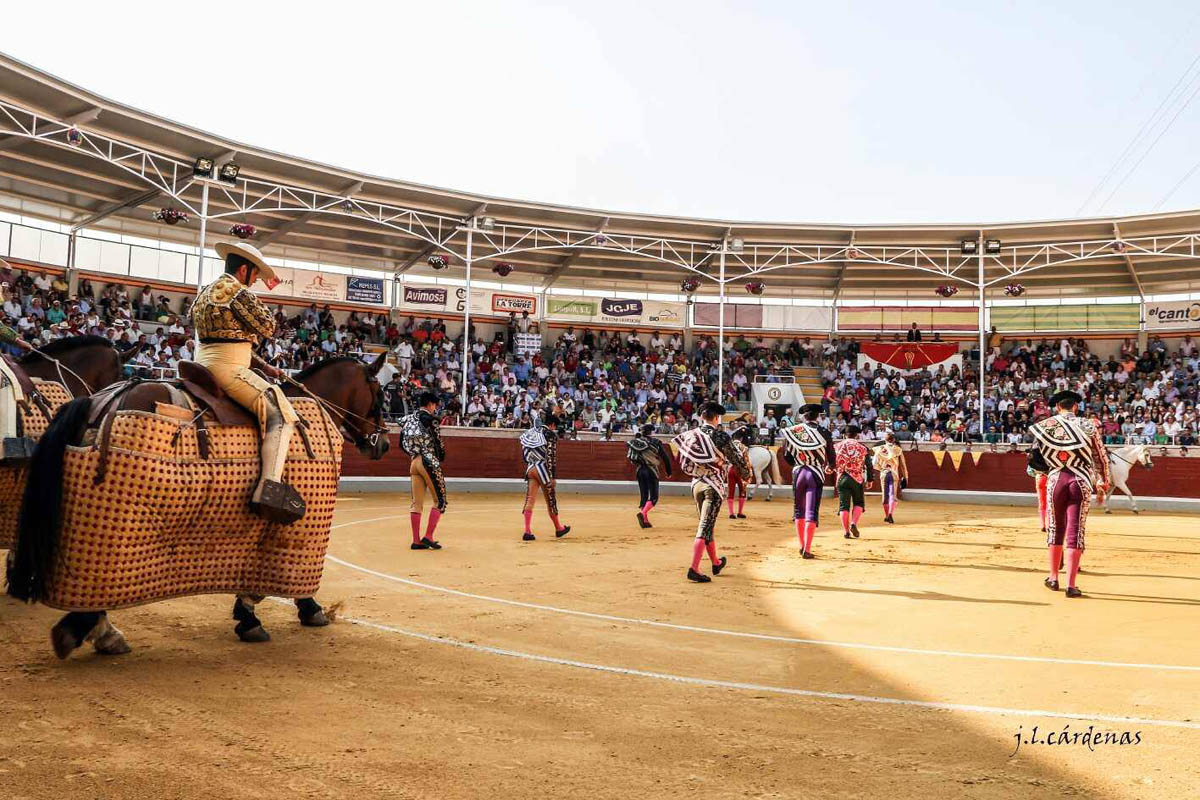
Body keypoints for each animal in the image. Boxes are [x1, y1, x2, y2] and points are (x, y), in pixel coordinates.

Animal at [10, 352, 393, 652]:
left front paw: (253, 615)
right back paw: (92, 631)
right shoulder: (295, 525)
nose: (384, 444)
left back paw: (92, 630)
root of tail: (101, 400)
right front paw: (299, 610)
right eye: (379, 393)